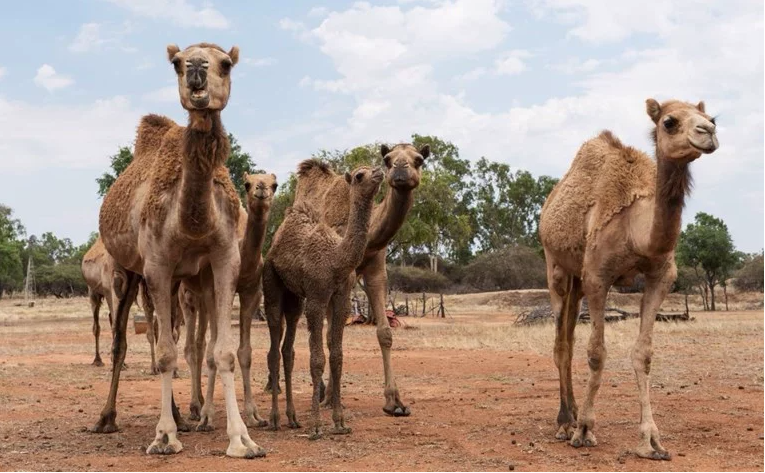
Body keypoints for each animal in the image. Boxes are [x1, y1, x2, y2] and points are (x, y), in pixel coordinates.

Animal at [93, 43, 266, 458]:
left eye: (225, 63)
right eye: (176, 63)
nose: (196, 71)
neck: (192, 219)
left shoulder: (223, 260)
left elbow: (222, 352)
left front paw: (242, 440)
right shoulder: (156, 263)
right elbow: (167, 354)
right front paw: (164, 437)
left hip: (174, 281)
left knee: (165, 331)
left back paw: (179, 415)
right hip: (127, 273)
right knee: (124, 340)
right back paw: (107, 418)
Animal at [182, 171, 278, 428]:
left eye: (275, 184)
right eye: (247, 183)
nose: (262, 188)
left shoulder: (251, 293)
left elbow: (245, 352)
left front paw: (254, 415)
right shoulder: (212, 290)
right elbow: (214, 351)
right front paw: (207, 416)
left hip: (200, 301)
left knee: (198, 344)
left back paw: (199, 401)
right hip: (187, 295)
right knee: (190, 346)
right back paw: (194, 407)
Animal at [264, 163, 384, 438]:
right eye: (359, 175)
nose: (379, 172)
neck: (336, 260)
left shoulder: (341, 299)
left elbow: (337, 357)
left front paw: (340, 423)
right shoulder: (317, 298)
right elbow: (317, 359)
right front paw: (317, 426)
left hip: (295, 298)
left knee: (288, 350)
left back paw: (292, 418)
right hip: (272, 284)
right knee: (273, 350)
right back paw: (274, 419)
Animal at [274, 142, 426, 414]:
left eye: (418, 159)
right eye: (388, 159)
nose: (399, 171)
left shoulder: (376, 270)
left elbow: (384, 333)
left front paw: (395, 402)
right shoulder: (340, 276)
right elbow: (331, 337)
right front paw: (331, 400)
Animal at [536, 97, 716, 460]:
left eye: (711, 118)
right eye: (669, 122)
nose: (708, 133)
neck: (636, 230)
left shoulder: (660, 278)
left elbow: (643, 355)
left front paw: (651, 441)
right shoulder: (597, 277)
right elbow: (596, 353)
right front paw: (585, 430)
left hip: (576, 281)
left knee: (569, 338)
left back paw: (572, 413)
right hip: (556, 266)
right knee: (561, 343)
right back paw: (565, 423)